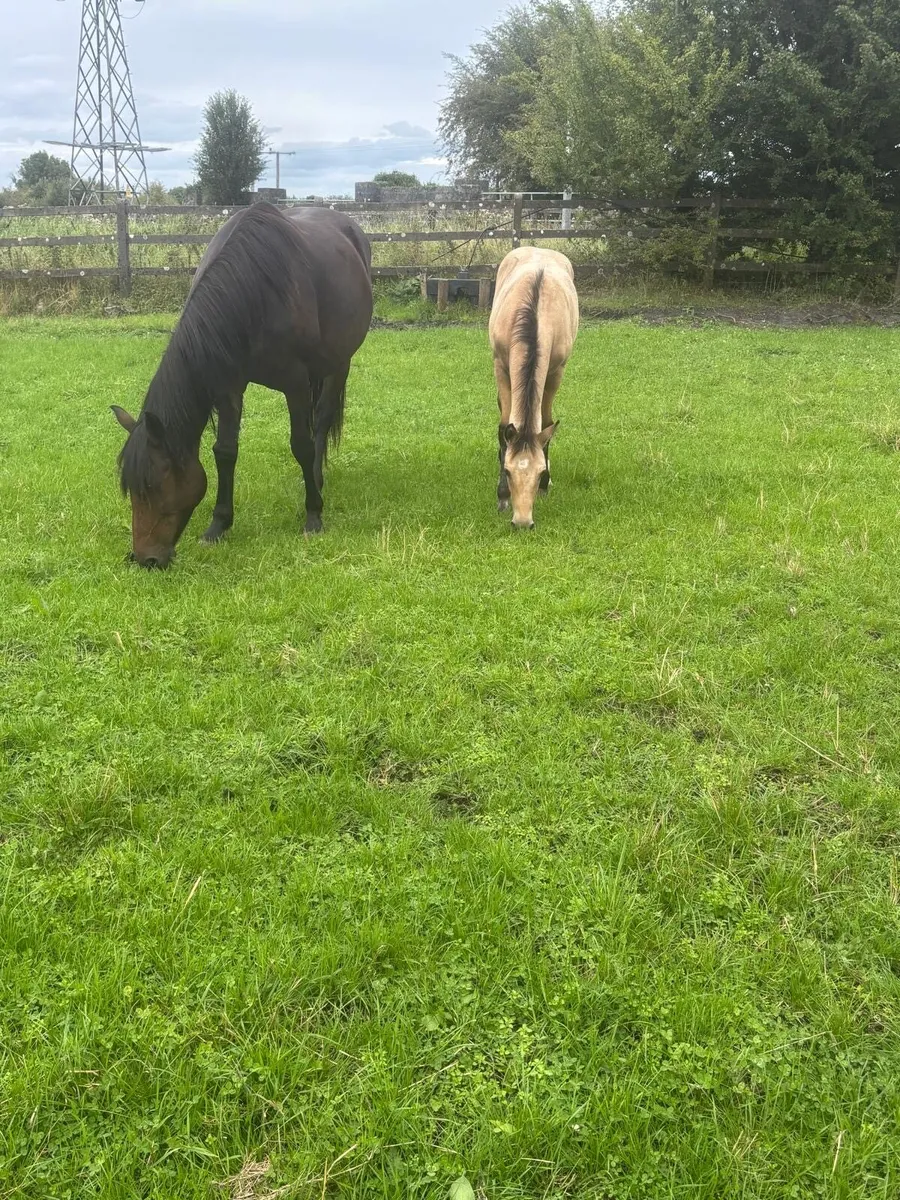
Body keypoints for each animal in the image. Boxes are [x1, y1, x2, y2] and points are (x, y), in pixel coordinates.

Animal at [112, 202, 373, 568]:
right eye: (131, 489)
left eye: (154, 485)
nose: (145, 559)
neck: (254, 292)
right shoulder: (228, 386)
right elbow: (225, 451)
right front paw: (218, 525)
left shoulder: (294, 383)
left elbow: (302, 446)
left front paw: (313, 516)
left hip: (339, 363)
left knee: (320, 422)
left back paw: (317, 481)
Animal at [489, 247, 579, 529]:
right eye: (508, 471)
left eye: (539, 471)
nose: (522, 522)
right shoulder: (501, 365)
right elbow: (503, 427)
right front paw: (502, 497)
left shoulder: (556, 371)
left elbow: (547, 423)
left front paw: (544, 486)